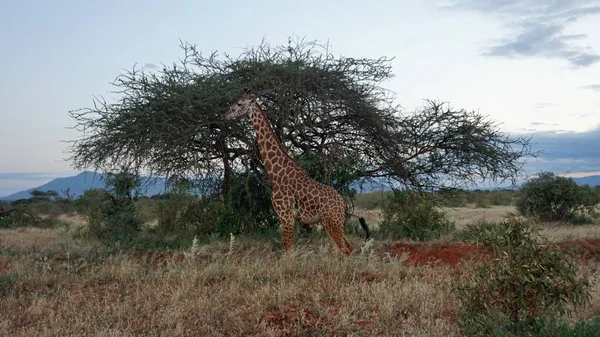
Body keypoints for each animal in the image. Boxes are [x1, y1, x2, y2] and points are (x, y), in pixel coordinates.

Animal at [223, 88, 368, 253]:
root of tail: (342, 204)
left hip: (332, 221)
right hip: (331, 222)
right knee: (346, 248)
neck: (276, 172)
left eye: (239, 103)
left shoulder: (286, 215)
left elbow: (288, 251)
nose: (225, 115)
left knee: (344, 249)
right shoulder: (286, 217)